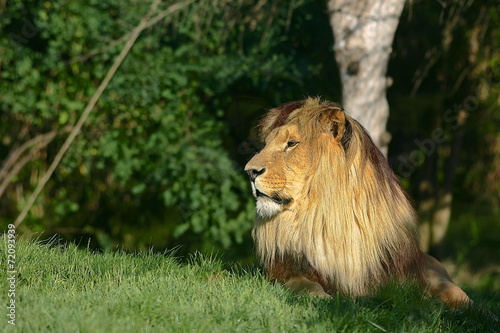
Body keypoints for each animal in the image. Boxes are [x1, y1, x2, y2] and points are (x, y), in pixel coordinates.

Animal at [246, 97, 472, 308]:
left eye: (291, 144)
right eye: (266, 145)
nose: (250, 172)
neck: (325, 219)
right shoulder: (282, 271)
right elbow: (303, 283)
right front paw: (321, 298)